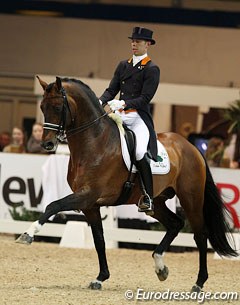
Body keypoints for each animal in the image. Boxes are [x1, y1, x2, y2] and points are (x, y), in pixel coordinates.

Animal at [15, 75, 237, 290]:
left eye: (58, 107)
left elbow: (53, 205)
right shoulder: (90, 204)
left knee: (200, 234)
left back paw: (199, 282)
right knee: (175, 224)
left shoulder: (88, 194)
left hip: (191, 198)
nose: (47, 144)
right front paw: (100, 278)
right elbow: (99, 239)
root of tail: (191, 147)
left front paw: (28, 234)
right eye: (42, 107)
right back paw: (160, 267)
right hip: (156, 202)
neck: (94, 142)